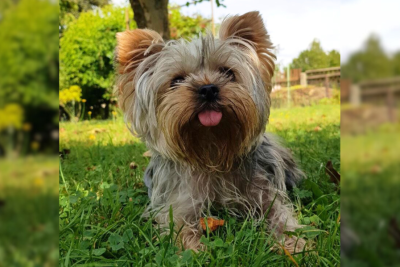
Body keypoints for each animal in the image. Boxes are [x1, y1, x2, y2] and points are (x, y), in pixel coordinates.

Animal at [114, 11, 304, 253]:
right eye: (176, 80)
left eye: (228, 73)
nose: (208, 89)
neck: (212, 151)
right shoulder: (181, 202)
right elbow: (179, 227)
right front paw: (195, 251)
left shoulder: (264, 194)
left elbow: (279, 214)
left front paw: (291, 244)